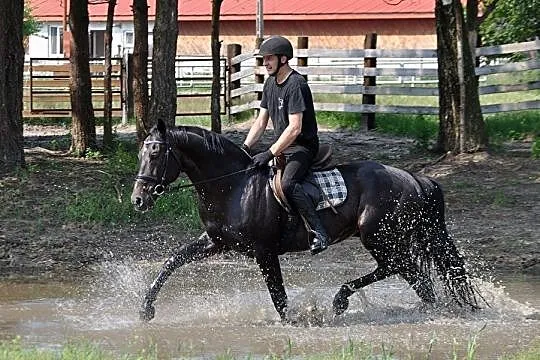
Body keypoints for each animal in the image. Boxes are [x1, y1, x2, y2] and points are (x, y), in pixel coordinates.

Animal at [131, 119, 480, 322]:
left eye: (156, 154)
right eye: (141, 154)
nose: (138, 200)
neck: (234, 185)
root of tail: (415, 179)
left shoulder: (264, 251)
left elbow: (278, 294)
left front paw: (292, 321)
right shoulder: (216, 243)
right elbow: (173, 261)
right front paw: (146, 309)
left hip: (378, 236)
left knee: (398, 267)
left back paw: (342, 299)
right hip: (385, 238)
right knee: (412, 275)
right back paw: (426, 309)